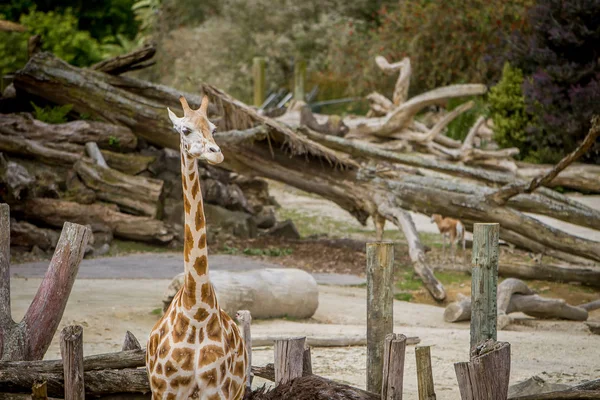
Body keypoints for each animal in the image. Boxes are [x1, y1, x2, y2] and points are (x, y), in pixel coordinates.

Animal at [146, 96, 247, 400]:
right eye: (185, 129)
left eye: (213, 128)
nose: (216, 153)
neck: (197, 309)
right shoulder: (165, 390)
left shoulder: (218, 389)